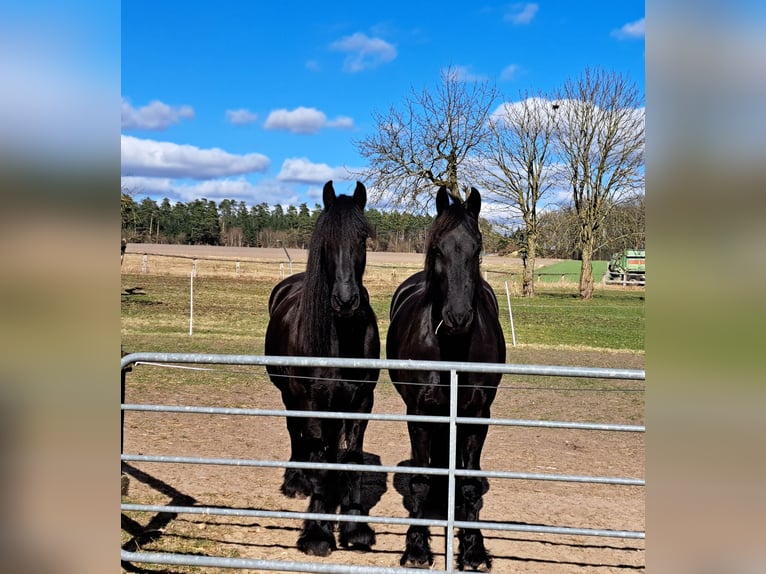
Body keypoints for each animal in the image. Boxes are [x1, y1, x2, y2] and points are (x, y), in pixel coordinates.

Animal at [264, 180, 380, 557]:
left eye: (362, 237)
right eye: (325, 239)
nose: (345, 300)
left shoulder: (361, 402)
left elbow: (351, 460)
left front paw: (355, 529)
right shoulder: (312, 400)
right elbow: (320, 460)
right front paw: (317, 533)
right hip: (290, 396)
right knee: (296, 434)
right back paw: (295, 482)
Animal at [386, 186, 506, 571]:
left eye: (477, 248)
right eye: (437, 247)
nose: (458, 318)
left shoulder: (476, 415)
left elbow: (468, 483)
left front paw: (473, 549)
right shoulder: (420, 414)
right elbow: (421, 480)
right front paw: (416, 548)